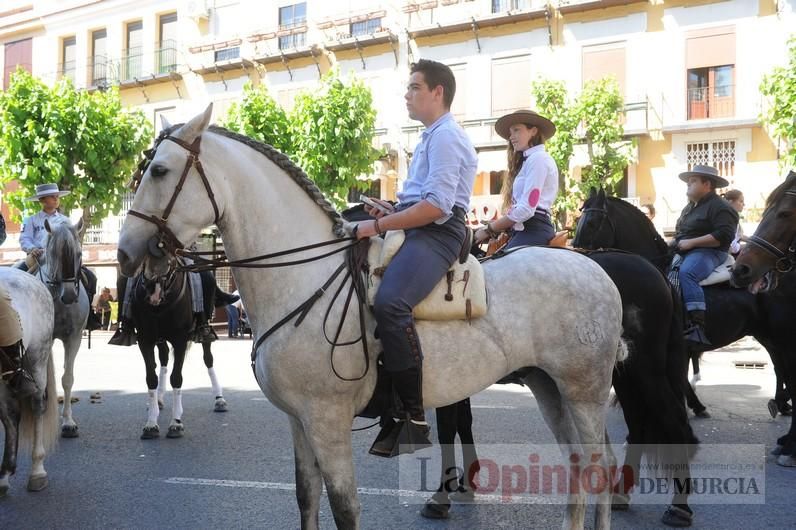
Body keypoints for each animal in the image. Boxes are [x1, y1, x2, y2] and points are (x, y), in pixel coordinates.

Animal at [118, 106, 628, 528]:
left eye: (159, 171)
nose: (126, 253)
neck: (302, 275)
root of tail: (597, 268)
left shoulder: (326, 420)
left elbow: (344, 506)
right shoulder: (298, 421)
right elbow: (306, 498)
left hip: (583, 390)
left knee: (597, 466)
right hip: (549, 387)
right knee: (579, 465)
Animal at [576, 189, 792, 462]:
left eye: (593, 222)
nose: (576, 252)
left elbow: (678, 382)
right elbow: (681, 382)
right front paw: (695, 409)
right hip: (767, 334)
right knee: (780, 366)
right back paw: (781, 404)